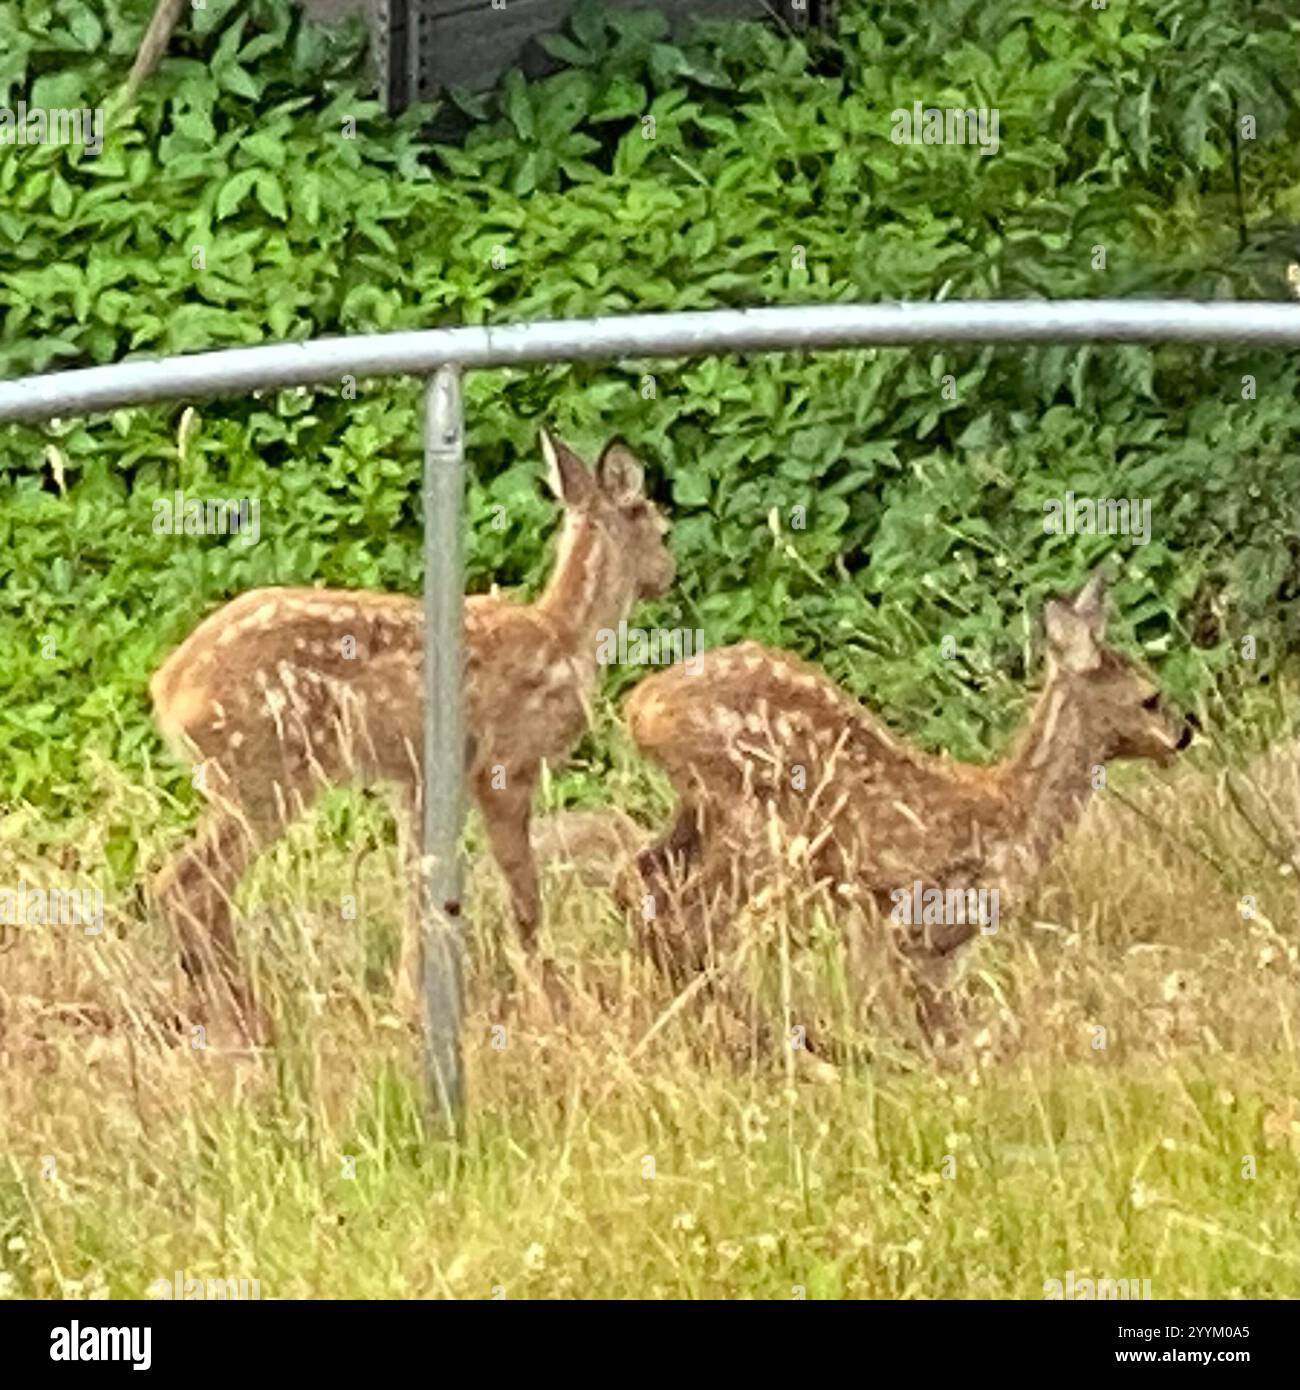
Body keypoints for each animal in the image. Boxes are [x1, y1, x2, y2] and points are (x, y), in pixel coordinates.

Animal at [149, 432, 673, 1038]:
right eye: (662, 529)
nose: (669, 573)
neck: (567, 639)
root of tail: (167, 689)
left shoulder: (413, 780)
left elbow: (416, 890)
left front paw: (407, 1007)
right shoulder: (504, 766)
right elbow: (523, 897)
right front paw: (551, 1007)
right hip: (265, 770)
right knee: (188, 885)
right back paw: (250, 1020)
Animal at [619, 573, 1192, 1039]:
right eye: (1151, 697)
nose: (1185, 732)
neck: (1017, 812)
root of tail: (641, 707)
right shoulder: (926, 920)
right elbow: (943, 1025)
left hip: (700, 809)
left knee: (645, 881)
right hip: (755, 819)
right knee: (693, 918)